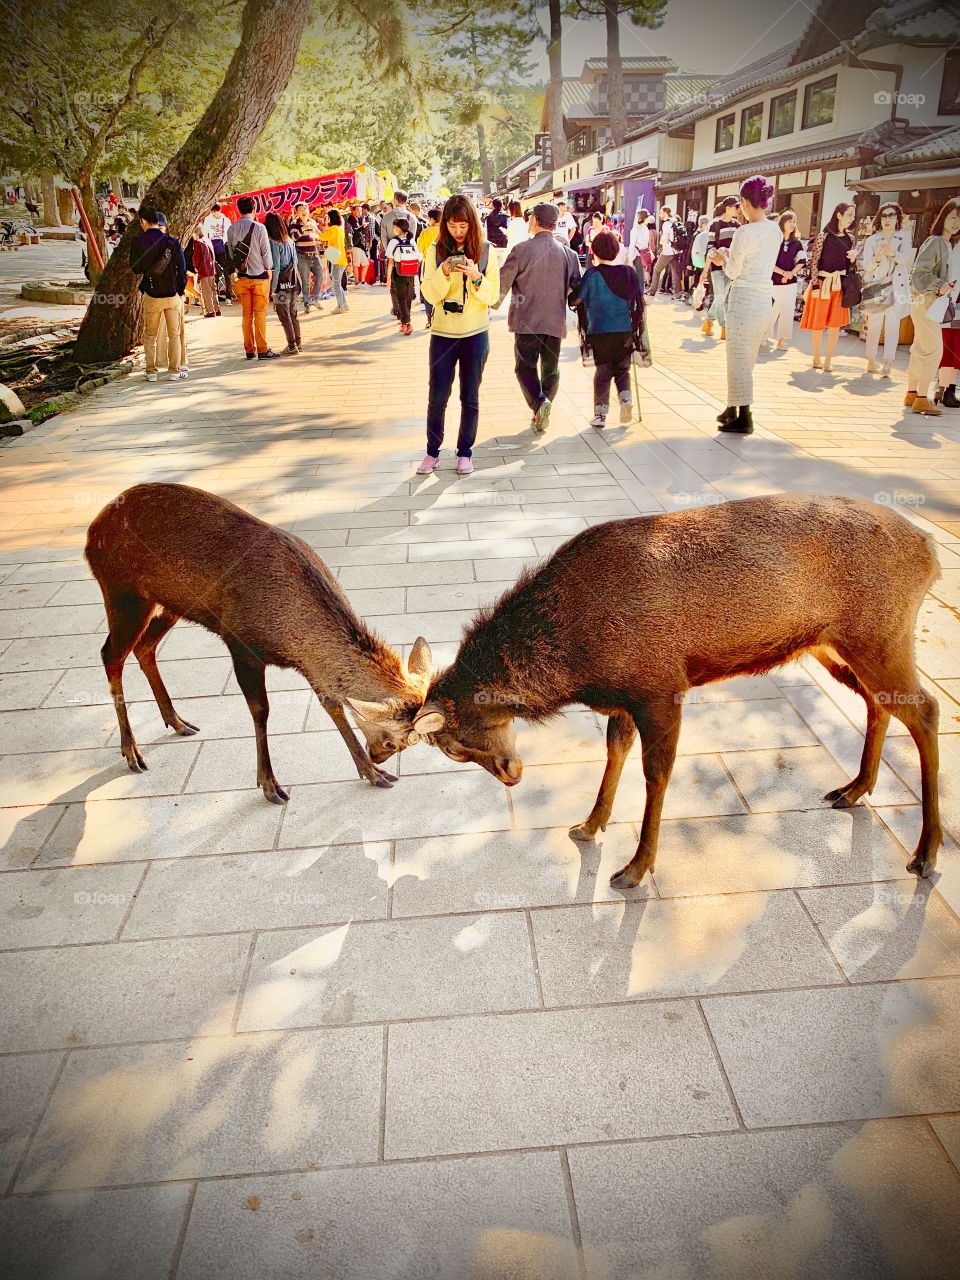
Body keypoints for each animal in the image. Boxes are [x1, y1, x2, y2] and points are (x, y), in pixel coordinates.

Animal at [85, 483, 432, 803]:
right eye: (396, 740)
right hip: (122, 591)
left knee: (145, 647)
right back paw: (131, 751)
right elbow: (261, 710)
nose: (377, 756)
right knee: (110, 654)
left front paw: (373, 773)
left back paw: (177, 721)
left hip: (171, 604)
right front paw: (269, 784)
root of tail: (92, 532)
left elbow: (330, 702)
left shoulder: (311, 667)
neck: (289, 641)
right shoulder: (240, 644)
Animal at [350, 493, 943, 889]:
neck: (580, 662)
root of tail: (930, 550)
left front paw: (635, 867)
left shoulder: (662, 684)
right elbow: (614, 751)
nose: (511, 775)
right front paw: (589, 825)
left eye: (451, 748)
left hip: (880, 631)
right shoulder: (623, 698)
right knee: (879, 703)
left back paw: (925, 852)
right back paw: (854, 788)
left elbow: (657, 773)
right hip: (833, 645)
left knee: (927, 709)